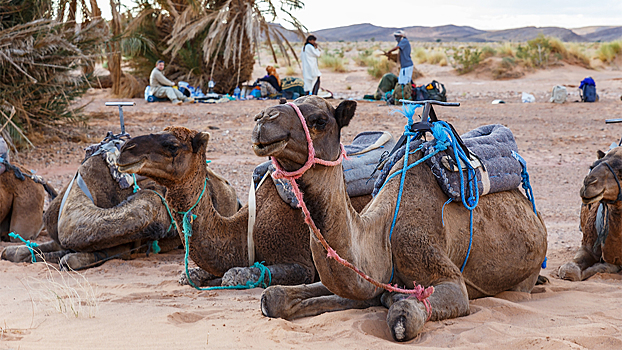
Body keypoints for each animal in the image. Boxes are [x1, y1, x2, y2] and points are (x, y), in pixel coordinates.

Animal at [117, 126, 372, 288]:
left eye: (172, 145)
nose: (125, 149)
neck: (242, 231)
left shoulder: (301, 264)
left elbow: (232, 276)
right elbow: (190, 275)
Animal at [251, 95, 548, 342]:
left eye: (319, 121)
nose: (263, 118)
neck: (382, 234)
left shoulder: (439, 270)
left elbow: (402, 317)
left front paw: (392, 301)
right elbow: (272, 297)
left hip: (526, 274)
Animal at [560, 148, 622, 282]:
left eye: (621, 170)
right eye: (593, 165)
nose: (588, 182)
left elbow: (607, 267)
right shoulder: (587, 245)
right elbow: (569, 269)